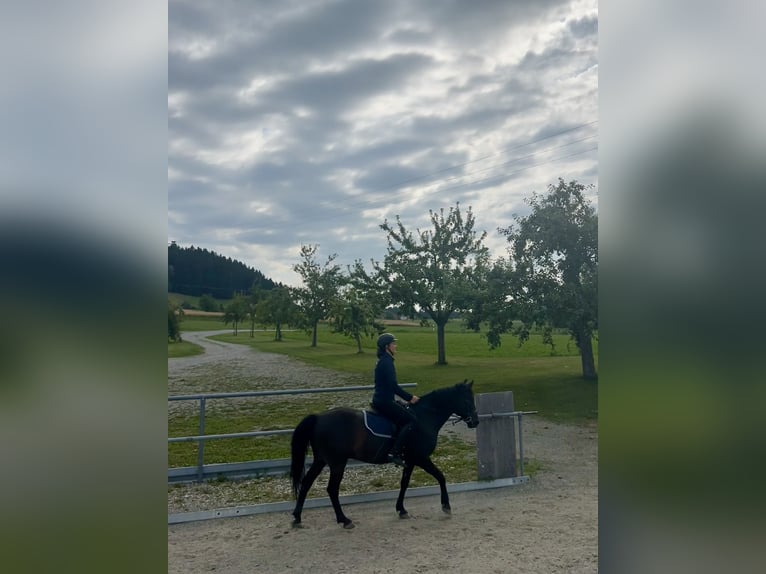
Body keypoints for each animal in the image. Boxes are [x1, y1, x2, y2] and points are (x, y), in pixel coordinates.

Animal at [289, 379, 479, 529]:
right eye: (468, 400)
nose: (475, 421)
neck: (424, 418)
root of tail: (318, 418)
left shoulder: (410, 460)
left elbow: (404, 483)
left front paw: (401, 510)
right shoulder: (421, 458)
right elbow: (441, 477)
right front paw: (446, 506)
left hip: (320, 460)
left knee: (306, 483)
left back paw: (297, 517)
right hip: (337, 463)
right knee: (332, 489)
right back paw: (344, 520)